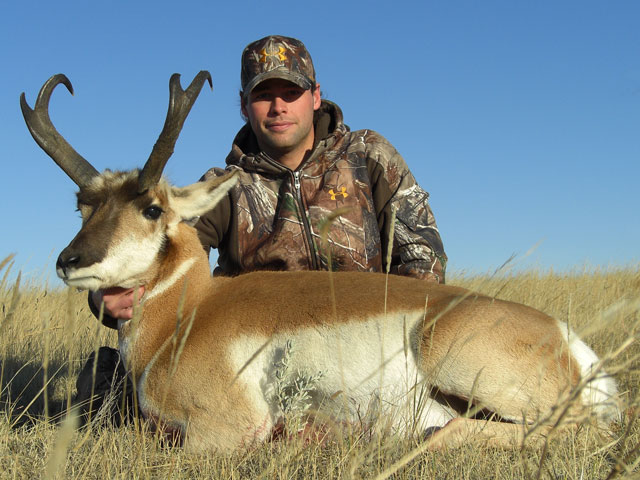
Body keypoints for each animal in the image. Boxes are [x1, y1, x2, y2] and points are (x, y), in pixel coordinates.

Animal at [22, 73, 616, 452]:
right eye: (82, 205)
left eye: (151, 208)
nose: (70, 260)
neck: (185, 314)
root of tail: (565, 337)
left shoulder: (224, 432)